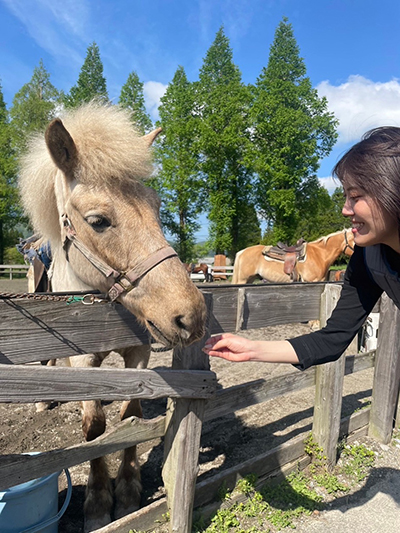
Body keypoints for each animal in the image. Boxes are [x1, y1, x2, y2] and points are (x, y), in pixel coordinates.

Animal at [18, 102, 206, 528]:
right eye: (98, 221)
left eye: (157, 207)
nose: (190, 317)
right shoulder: (84, 362)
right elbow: (95, 429)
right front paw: (99, 502)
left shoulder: (139, 354)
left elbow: (130, 416)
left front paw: (129, 490)